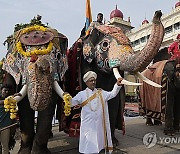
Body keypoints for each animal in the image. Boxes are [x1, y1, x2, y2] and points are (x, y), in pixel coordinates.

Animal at [1, 16, 68, 153]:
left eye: (58, 56)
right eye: (21, 55)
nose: (41, 64)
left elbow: (49, 107)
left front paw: (38, 152)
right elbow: (25, 106)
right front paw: (24, 152)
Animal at [66, 9, 165, 147]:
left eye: (130, 43)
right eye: (105, 45)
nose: (158, 13)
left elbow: (113, 102)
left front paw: (113, 142)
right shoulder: (84, 65)